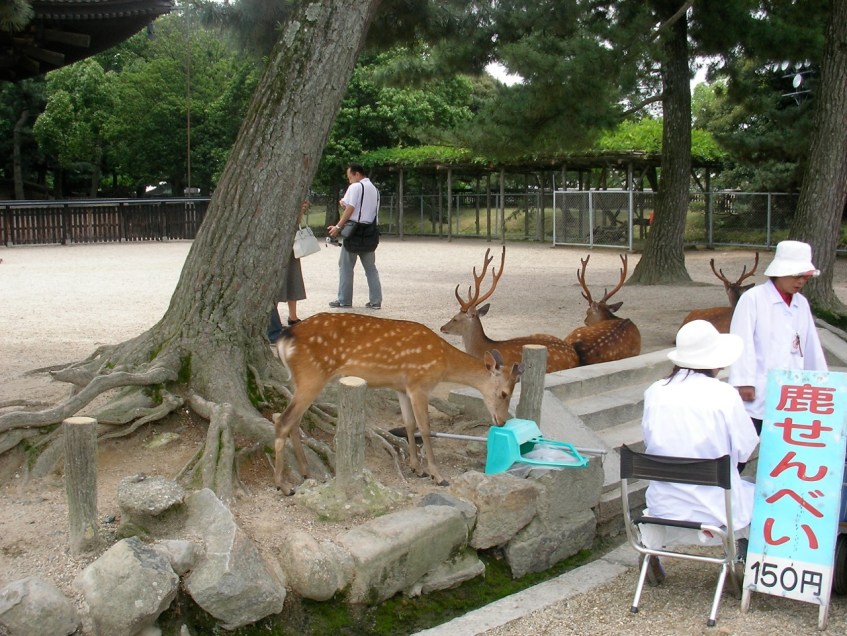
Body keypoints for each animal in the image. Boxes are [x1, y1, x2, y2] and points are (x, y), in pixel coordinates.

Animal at [272, 312, 524, 495]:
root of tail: (284, 339)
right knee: (283, 420)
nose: (502, 421)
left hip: (300, 380)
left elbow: (409, 423)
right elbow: (426, 428)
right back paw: (283, 485)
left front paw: (416, 468)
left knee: (293, 421)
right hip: (312, 375)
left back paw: (306, 471)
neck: (443, 363)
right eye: (503, 393)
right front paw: (438, 475)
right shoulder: (419, 383)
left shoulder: (402, 387)